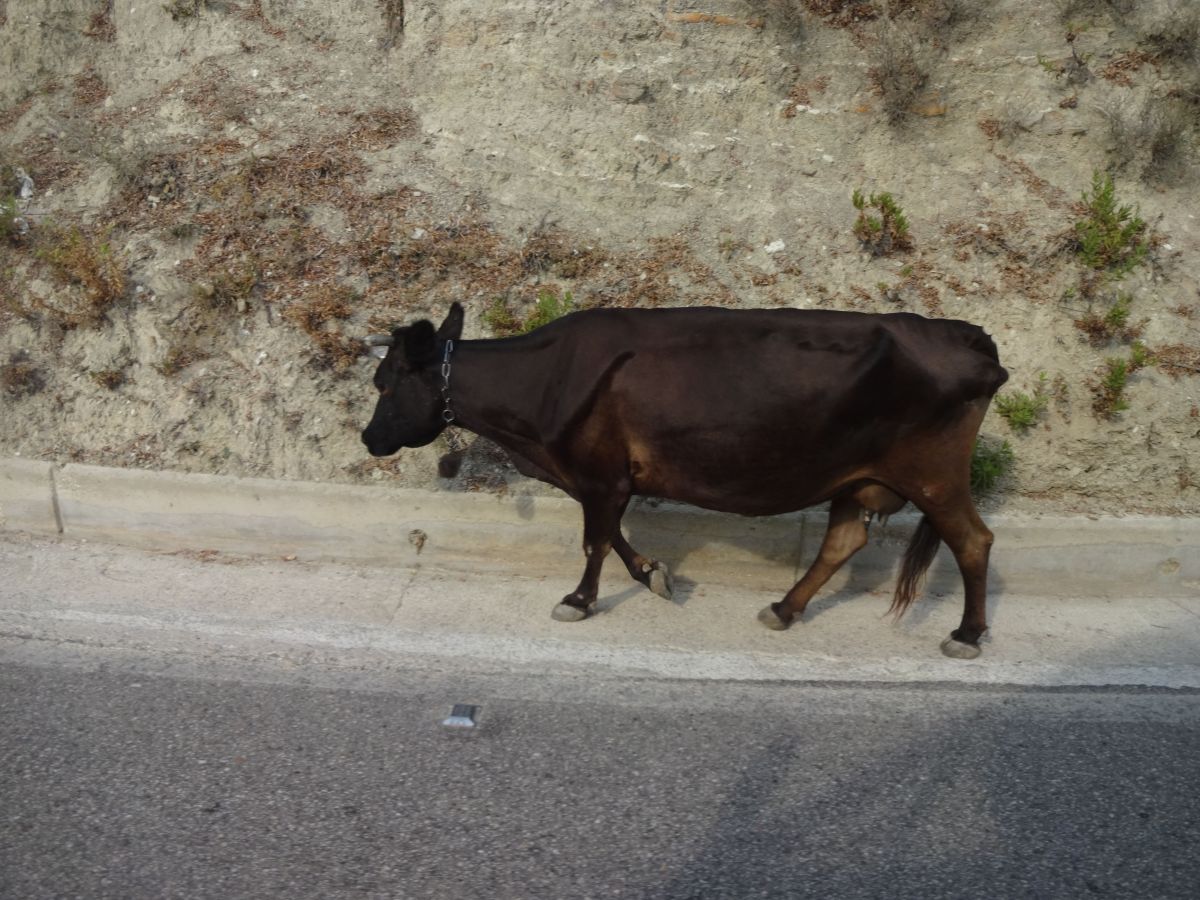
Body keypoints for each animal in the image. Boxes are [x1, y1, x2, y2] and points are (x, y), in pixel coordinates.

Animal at [361, 301, 1009, 659]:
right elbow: (615, 537)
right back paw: (783, 608)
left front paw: (578, 601)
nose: (368, 440)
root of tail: (969, 336)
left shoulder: (598, 472)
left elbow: (595, 541)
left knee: (973, 541)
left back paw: (967, 635)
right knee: (843, 541)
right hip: (855, 476)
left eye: (385, 384)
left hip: (933, 471)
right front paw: (654, 575)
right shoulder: (602, 476)